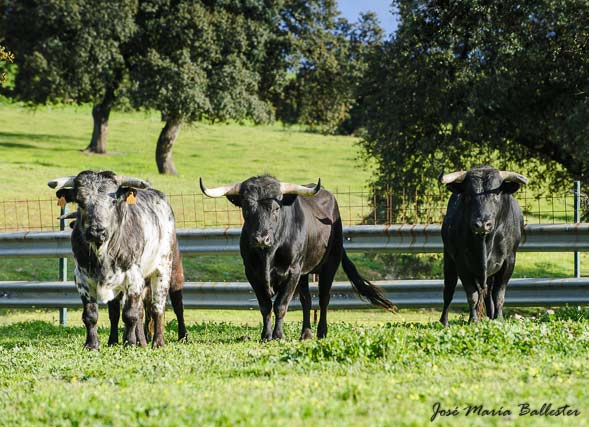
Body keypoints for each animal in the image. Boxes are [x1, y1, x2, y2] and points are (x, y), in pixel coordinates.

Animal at [49, 171, 185, 352]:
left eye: (113, 201)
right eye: (80, 202)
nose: (96, 231)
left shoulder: (134, 278)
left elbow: (130, 315)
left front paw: (130, 343)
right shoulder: (82, 278)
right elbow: (91, 315)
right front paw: (92, 344)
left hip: (167, 269)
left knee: (163, 307)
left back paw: (164, 340)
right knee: (122, 311)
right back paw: (119, 341)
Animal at [200, 175, 392, 342]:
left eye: (276, 208)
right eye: (246, 208)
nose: (261, 239)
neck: (268, 253)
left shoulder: (293, 271)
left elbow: (280, 305)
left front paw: (278, 335)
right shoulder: (252, 273)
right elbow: (265, 306)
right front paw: (265, 335)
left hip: (330, 264)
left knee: (324, 298)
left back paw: (322, 332)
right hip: (304, 273)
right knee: (306, 300)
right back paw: (306, 334)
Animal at [436, 166, 528, 326]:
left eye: (496, 193)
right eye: (468, 194)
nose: (482, 224)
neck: (485, 242)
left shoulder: (509, 261)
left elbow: (498, 294)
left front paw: (499, 319)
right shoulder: (462, 264)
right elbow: (472, 295)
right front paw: (473, 320)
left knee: (488, 293)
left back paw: (491, 316)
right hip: (449, 260)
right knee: (449, 290)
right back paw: (444, 322)